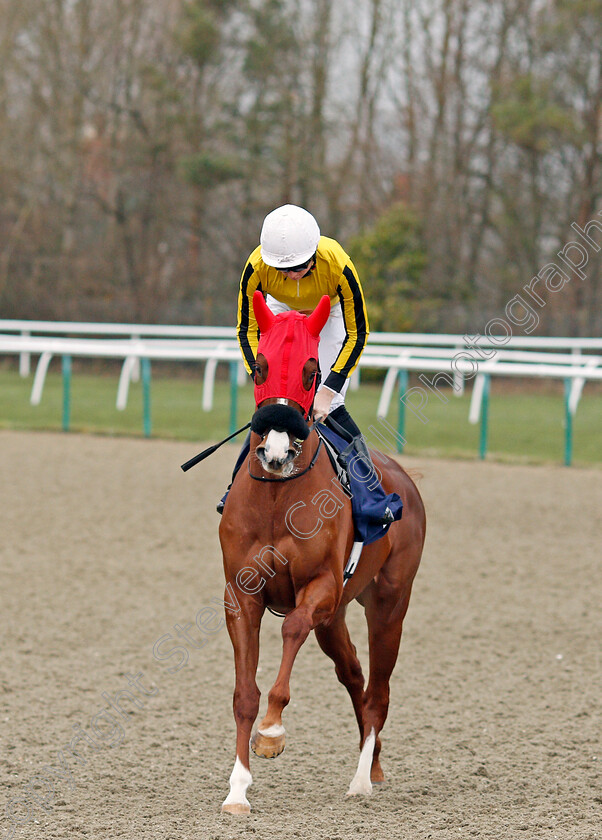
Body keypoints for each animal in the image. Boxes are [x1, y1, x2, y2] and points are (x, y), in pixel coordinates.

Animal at [218, 294, 424, 812]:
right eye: (259, 367)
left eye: (312, 371)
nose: (274, 452)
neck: (277, 498)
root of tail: (405, 480)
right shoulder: (240, 593)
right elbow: (243, 694)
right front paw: (238, 789)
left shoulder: (322, 588)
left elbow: (292, 627)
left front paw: (272, 731)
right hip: (335, 620)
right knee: (355, 677)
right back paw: (373, 763)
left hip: (388, 603)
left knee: (379, 691)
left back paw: (363, 779)